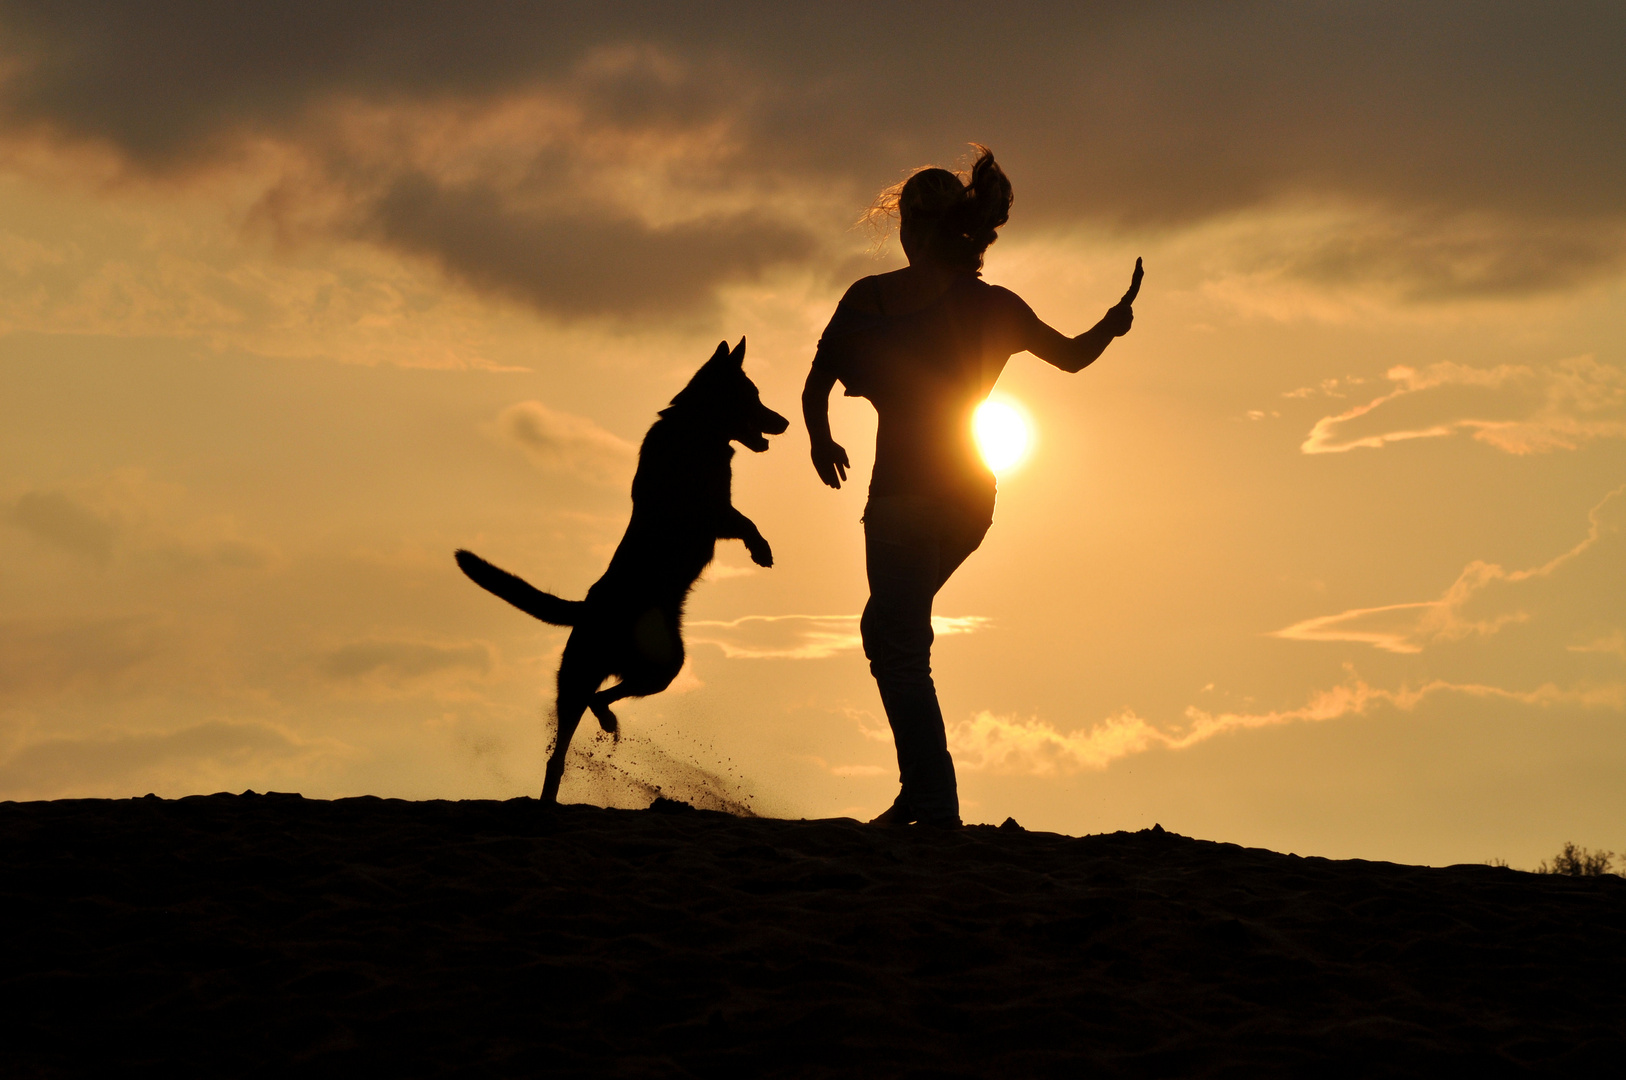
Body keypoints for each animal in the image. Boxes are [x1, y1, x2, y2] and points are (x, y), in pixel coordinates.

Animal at [456, 338, 788, 804]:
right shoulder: (710, 511)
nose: (786, 422)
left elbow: (743, 519)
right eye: (752, 397)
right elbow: (746, 522)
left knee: (594, 711)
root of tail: (587, 607)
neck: (695, 427)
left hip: (653, 667)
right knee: (579, 723)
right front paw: (761, 549)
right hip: (601, 674)